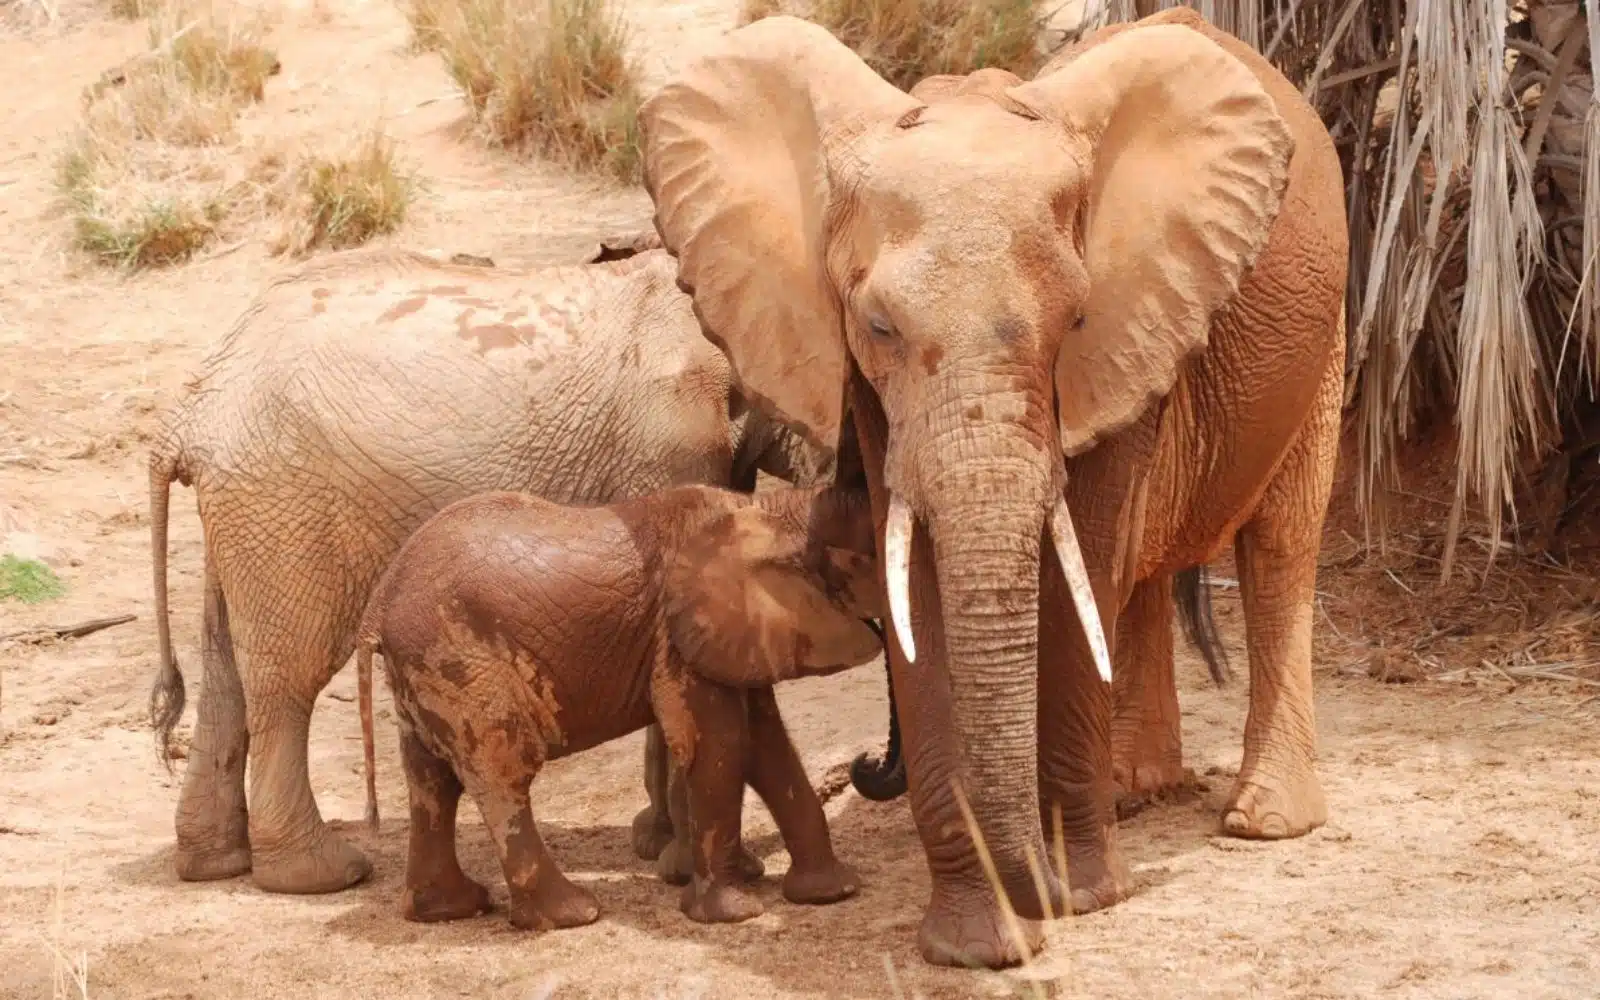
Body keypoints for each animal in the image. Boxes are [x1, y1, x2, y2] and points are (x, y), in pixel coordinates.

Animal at [146, 234, 839, 895]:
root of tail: (185, 414)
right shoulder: (672, 440)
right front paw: (695, 865)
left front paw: (659, 844)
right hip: (286, 501)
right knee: (288, 673)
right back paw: (321, 875)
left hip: (249, 508)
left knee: (225, 669)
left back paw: (215, 862)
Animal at [352, 481, 881, 928]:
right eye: (867, 561)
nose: (867, 762)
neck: (770, 509)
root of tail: (377, 606)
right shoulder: (678, 637)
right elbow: (721, 745)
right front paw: (736, 914)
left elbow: (765, 745)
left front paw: (832, 892)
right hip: (462, 661)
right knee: (503, 775)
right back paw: (573, 914)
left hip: (424, 671)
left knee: (431, 781)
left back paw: (449, 909)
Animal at [634, 7, 1347, 967]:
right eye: (878, 327)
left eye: (1075, 320)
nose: (864, 771)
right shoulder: (871, 391)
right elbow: (923, 592)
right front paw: (980, 943)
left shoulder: (1124, 328)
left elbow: (1083, 571)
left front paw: (1082, 897)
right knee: (1143, 580)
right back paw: (1135, 790)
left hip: (1325, 330)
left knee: (1277, 545)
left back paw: (1262, 821)